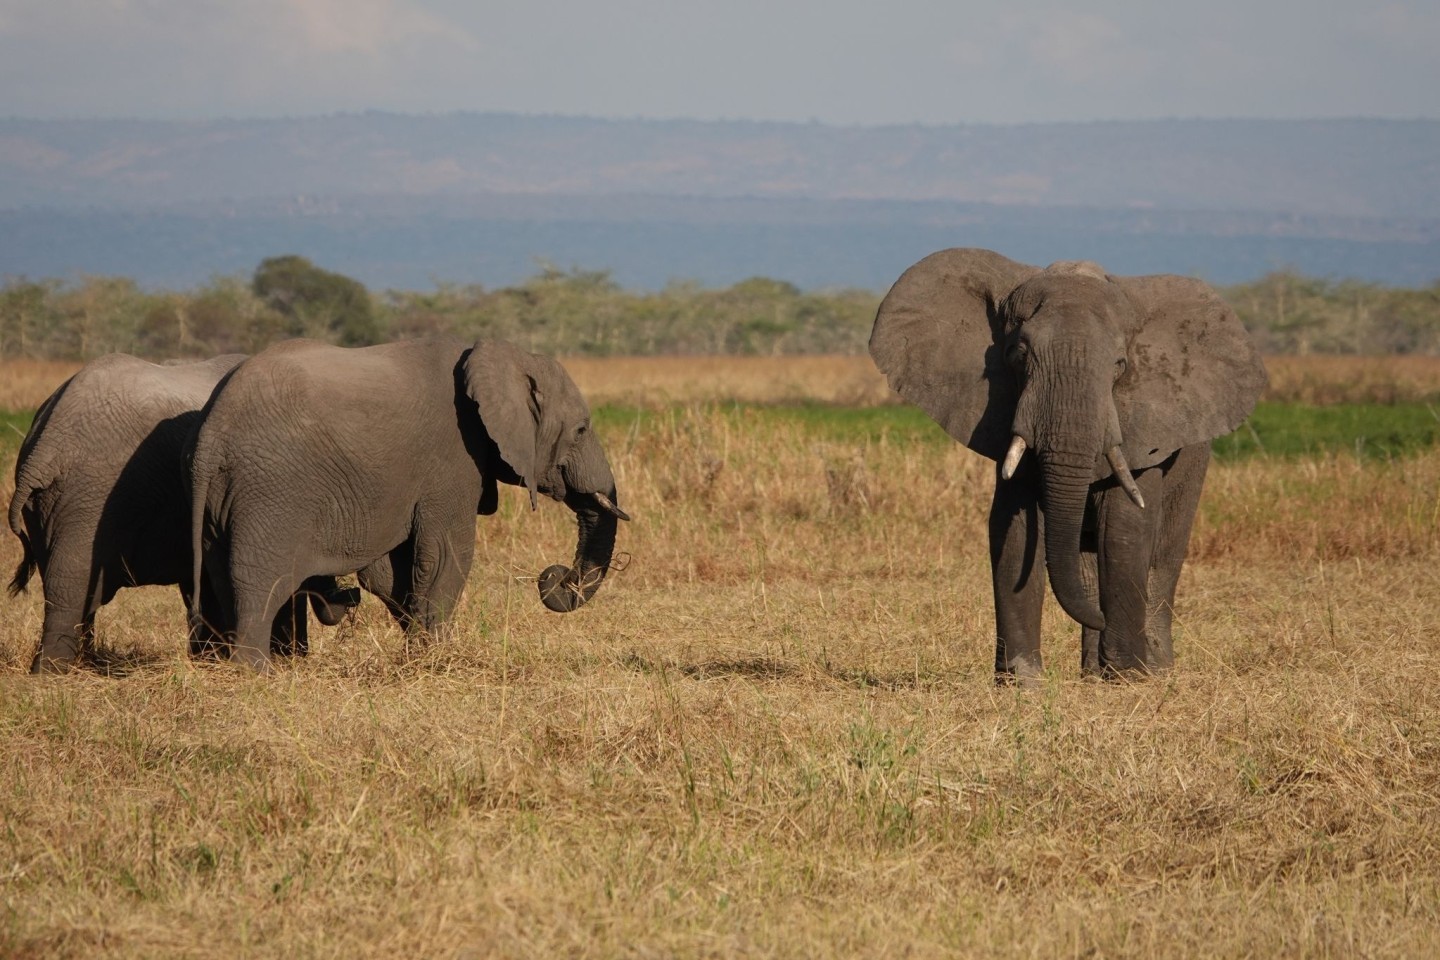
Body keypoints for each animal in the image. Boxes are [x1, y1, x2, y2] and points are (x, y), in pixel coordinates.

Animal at [10, 352, 362, 676]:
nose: (351, 595)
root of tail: (44, 449)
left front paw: (210, 660)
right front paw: (286, 659)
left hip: (55, 505)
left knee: (67, 588)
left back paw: (60, 670)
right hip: (89, 499)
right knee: (72, 587)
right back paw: (58, 672)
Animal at [187, 333, 630, 673]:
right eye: (581, 430)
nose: (554, 576)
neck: (497, 356)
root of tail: (210, 436)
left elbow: (391, 572)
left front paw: (418, 651)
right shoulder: (453, 456)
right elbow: (446, 554)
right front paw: (437, 658)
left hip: (223, 502)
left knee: (221, 578)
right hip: (271, 493)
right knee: (260, 583)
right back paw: (256, 672)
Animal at [864, 247, 1261, 682]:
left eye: (1120, 365)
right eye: (1019, 356)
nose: (1102, 621)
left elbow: (1124, 530)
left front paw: (1128, 677)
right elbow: (1014, 527)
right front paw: (1022, 682)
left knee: (1163, 558)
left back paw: (1152, 669)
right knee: (1085, 569)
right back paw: (1093, 673)